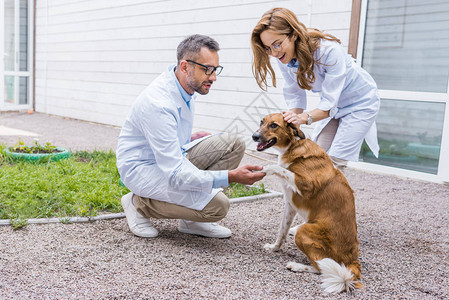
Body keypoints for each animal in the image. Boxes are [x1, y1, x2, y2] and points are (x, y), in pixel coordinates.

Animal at [252, 113, 360, 294]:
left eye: (274, 125)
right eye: (262, 122)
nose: (254, 136)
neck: (293, 147)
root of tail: (352, 260)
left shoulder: (307, 185)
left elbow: (278, 167)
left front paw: (265, 168)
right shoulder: (290, 205)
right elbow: (281, 232)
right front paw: (274, 248)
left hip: (303, 232)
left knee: (319, 267)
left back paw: (296, 266)